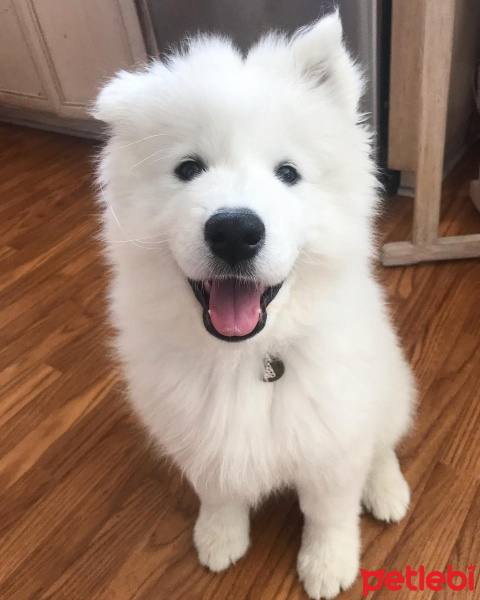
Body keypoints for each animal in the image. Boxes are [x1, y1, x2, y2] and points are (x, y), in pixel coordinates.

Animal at [95, 14, 414, 600]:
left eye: (288, 173)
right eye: (188, 168)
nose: (234, 231)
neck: (247, 357)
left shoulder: (332, 446)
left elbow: (329, 513)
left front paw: (328, 565)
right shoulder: (199, 436)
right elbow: (218, 493)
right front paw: (220, 539)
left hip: (389, 392)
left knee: (383, 445)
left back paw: (386, 491)